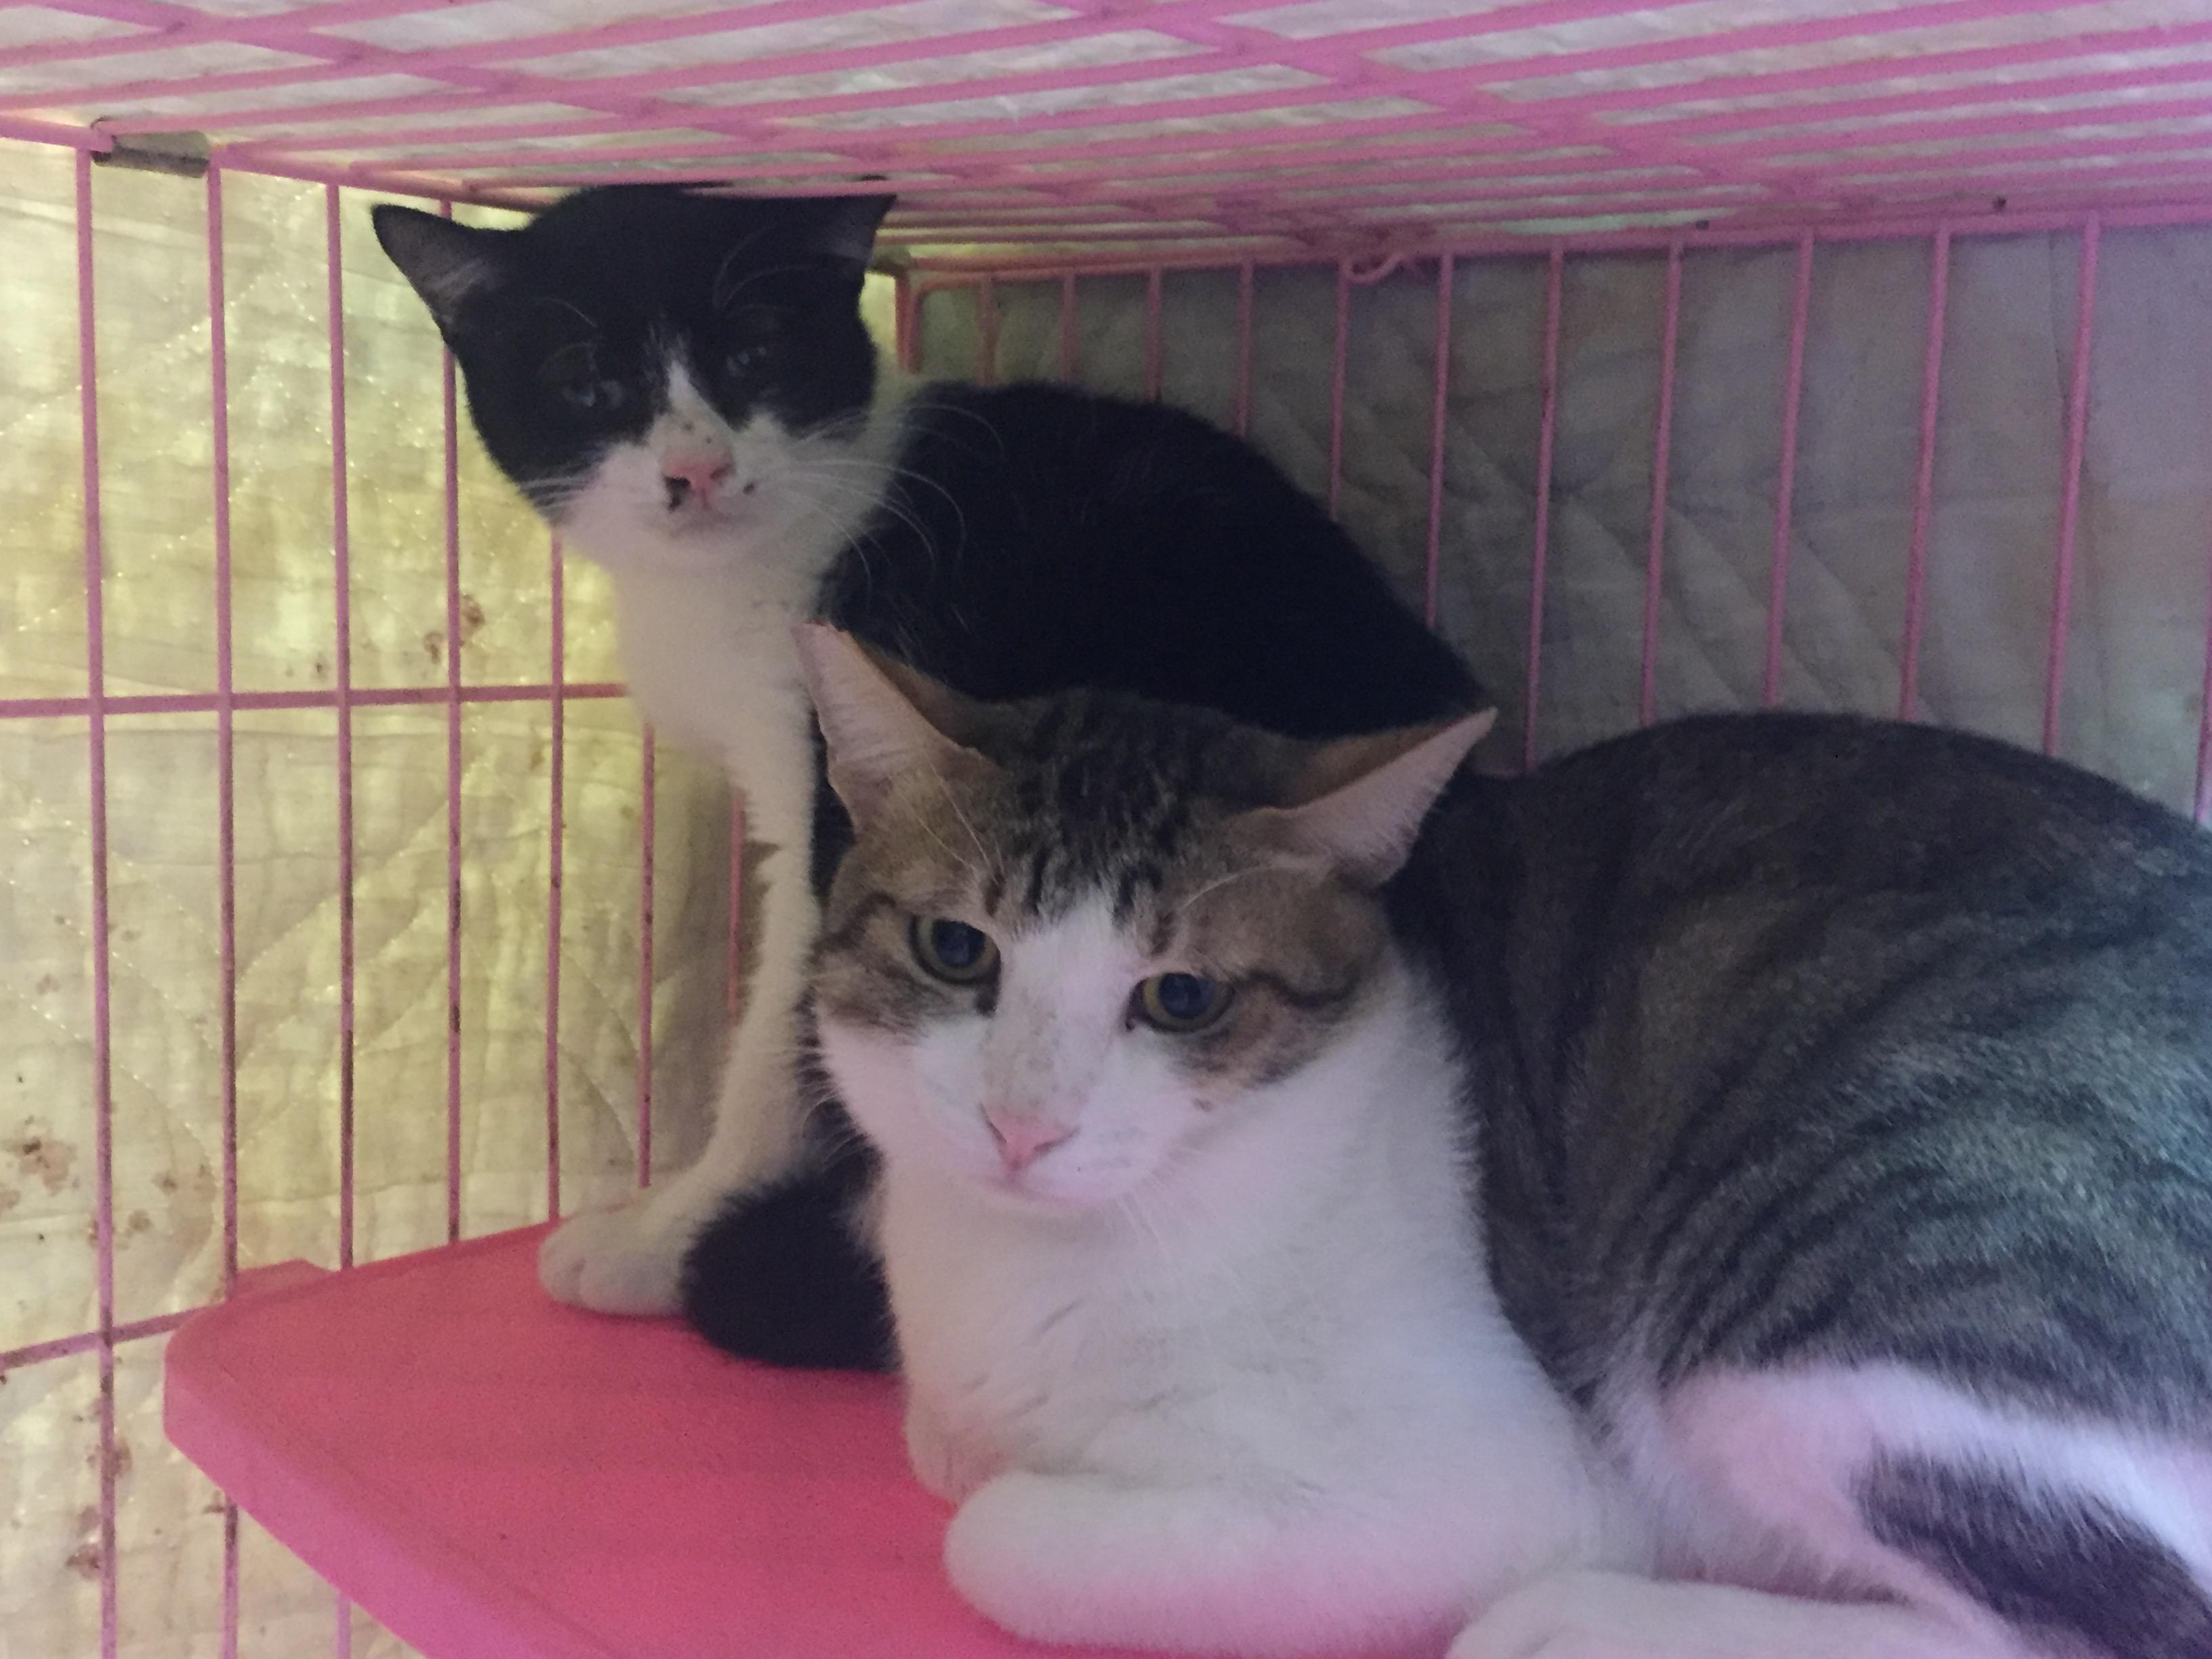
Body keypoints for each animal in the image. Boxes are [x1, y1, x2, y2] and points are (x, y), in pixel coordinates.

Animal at [371, 184, 1479, 1367]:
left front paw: (665, 1235)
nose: (696, 468)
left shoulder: (821, 779)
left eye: (755, 352)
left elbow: (782, 1030)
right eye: (587, 380)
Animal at [796, 621, 2212, 1659]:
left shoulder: (1481, 1481)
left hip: (1823, 1307)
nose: (1020, 1124)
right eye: (955, 948)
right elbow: (941, 1451)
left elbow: (990, 1531)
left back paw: (1578, 1624)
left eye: (1179, 997)